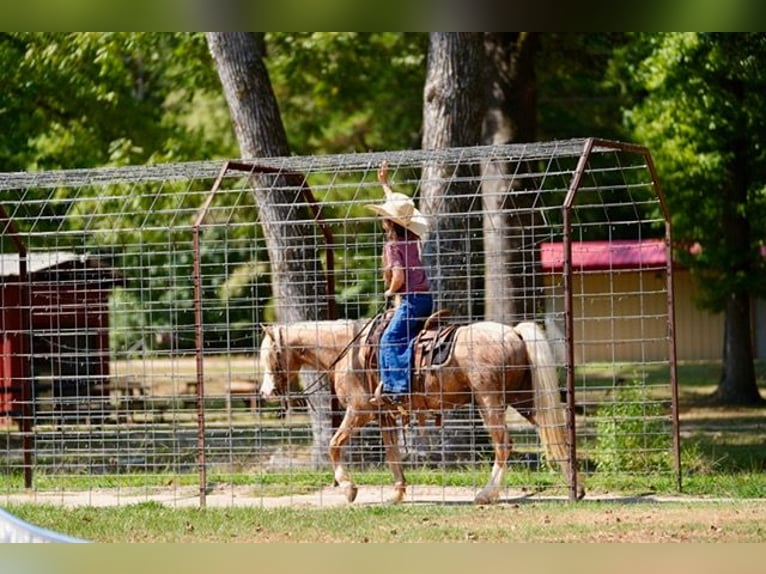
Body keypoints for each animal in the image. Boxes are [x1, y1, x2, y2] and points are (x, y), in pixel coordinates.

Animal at [259, 317, 582, 505]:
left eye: (270, 355)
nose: (265, 393)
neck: (349, 352)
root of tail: (514, 332)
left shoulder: (358, 411)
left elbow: (334, 445)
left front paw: (349, 488)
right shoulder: (384, 416)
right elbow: (392, 454)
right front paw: (397, 493)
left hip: (490, 403)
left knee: (504, 445)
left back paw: (486, 494)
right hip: (526, 399)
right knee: (555, 433)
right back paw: (575, 489)